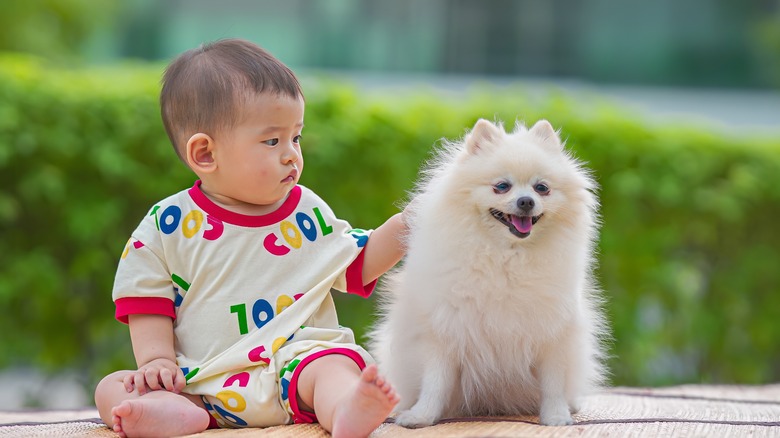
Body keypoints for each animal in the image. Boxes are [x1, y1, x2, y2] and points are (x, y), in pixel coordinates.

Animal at [370, 118, 608, 426]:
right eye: (502, 186)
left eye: (541, 188)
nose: (526, 201)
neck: (506, 256)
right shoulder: (445, 328)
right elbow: (435, 381)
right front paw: (421, 416)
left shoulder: (553, 331)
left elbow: (553, 383)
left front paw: (556, 416)